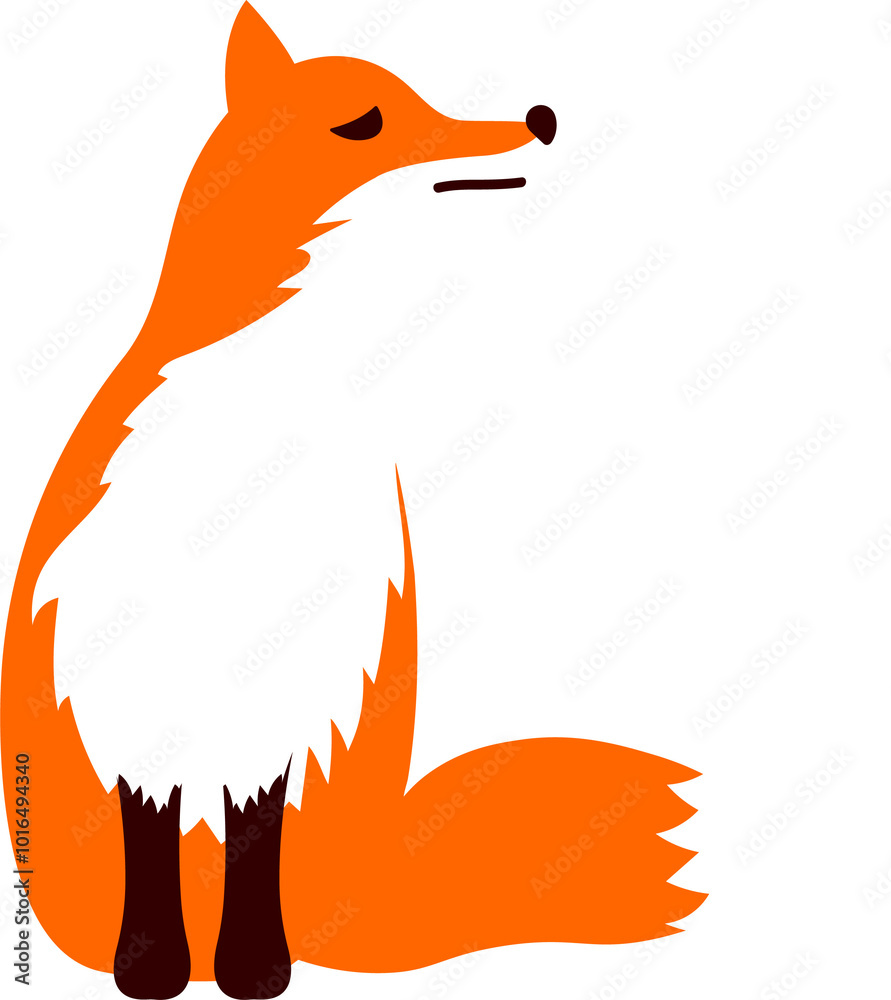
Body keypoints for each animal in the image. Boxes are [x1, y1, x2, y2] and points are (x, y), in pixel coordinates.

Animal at [2, 5, 705, 999]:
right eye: (366, 122)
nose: (538, 119)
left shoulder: (294, 695)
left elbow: (256, 837)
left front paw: (254, 968)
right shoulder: (129, 694)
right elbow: (148, 829)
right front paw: (153, 968)